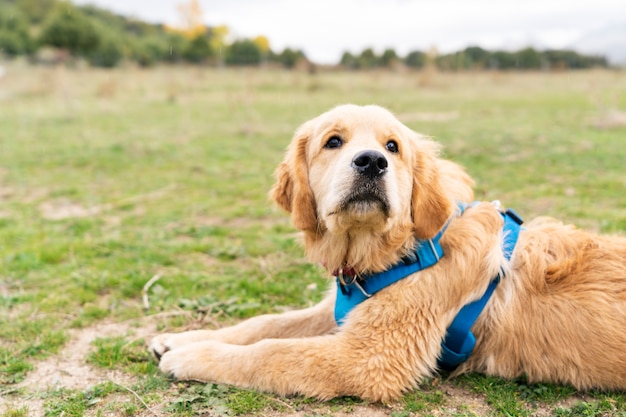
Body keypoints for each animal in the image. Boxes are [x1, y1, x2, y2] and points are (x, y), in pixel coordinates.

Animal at [150, 104, 624, 400]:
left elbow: (272, 352)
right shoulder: (343, 310)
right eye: (333, 142)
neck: (400, 249)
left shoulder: (368, 358)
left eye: (392, 147)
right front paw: (182, 337)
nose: (372, 162)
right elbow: (266, 324)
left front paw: (191, 356)